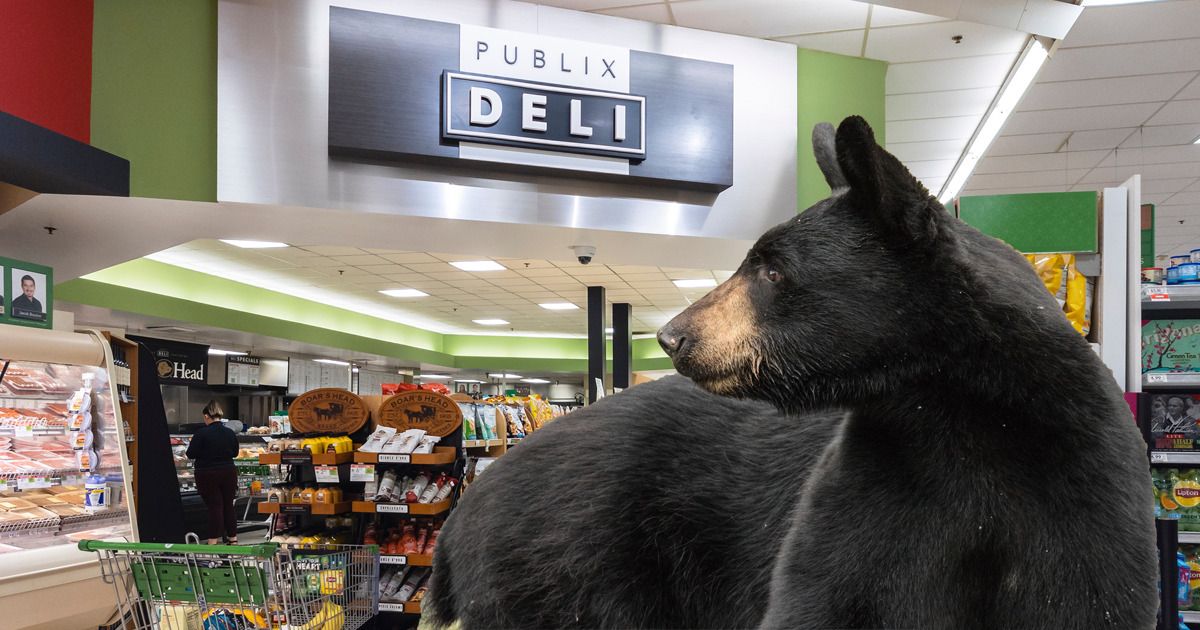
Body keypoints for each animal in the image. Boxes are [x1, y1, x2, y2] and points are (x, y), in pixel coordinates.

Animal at [655, 117, 1158, 629]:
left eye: (774, 271)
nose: (672, 336)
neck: (960, 409)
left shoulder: (1084, 497)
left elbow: (1084, 600)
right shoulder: (877, 479)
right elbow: (826, 594)